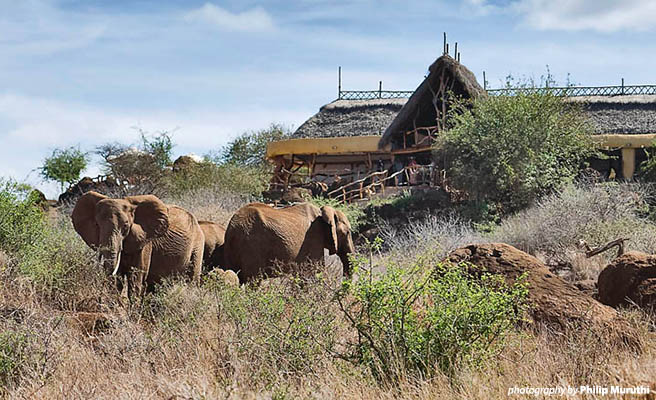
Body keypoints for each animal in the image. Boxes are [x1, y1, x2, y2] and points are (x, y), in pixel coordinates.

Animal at [71, 191, 205, 296]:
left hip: (198, 245)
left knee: (192, 280)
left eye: (125, 226)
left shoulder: (145, 241)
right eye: (97, 225)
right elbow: (118, 279)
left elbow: (136, 278)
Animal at [222, 202, 356, 282]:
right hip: (252, 245)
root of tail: (232, 227)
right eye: (348, 233)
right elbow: (313, 272)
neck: (323, 212)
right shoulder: (314, 238)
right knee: (253, 280)